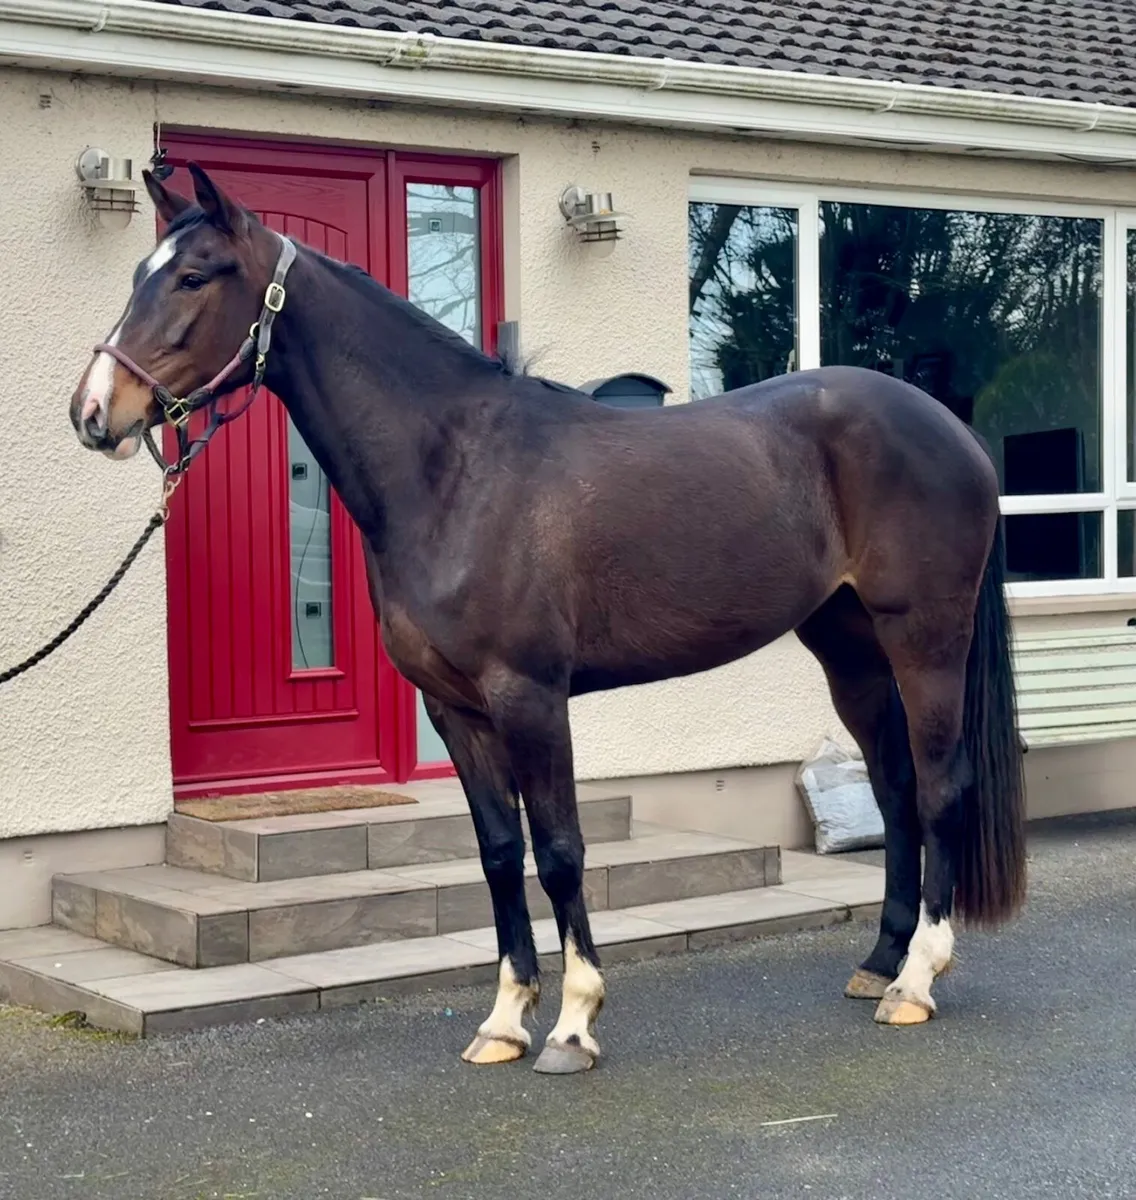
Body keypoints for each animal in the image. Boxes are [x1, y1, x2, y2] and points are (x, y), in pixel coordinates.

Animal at [68, 164, 1026, 1075]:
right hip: (847, 648)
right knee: (894, 789)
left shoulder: (530, 697)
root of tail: (954, 430)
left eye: (194, 275)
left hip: (924, 639)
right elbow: (499, 853)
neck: (454, 470)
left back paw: (916, 982)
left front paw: (572, 1026)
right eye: (140, 272)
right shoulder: (455, 707)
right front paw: (503, 1023)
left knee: (941, 787)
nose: (93, 412)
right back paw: (878, 962)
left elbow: (561, 850)